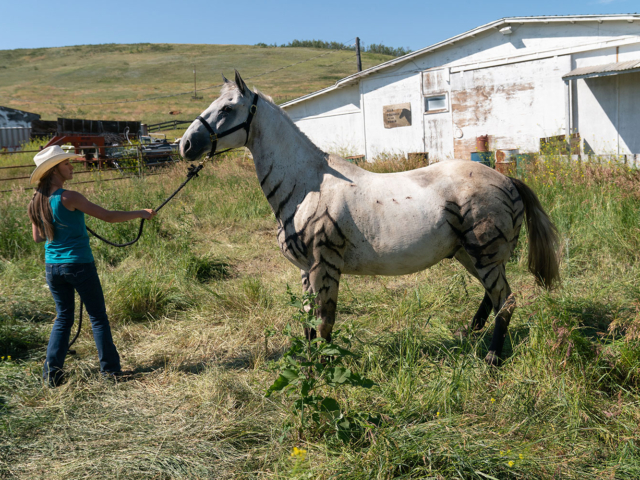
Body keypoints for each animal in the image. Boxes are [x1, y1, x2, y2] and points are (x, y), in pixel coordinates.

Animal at [180, 70, 560, 364]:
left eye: (227, 108)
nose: (185, 146)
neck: (307, 186)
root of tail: (507, 179)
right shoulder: (305, 270)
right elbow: (307, 322)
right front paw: (307, 362)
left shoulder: (323, 267)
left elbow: (324, 322)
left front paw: (322, 369)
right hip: (472, 255)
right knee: (492, 299)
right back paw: (470, 333)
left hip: (483, 254)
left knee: (506, 301)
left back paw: (493, 358)